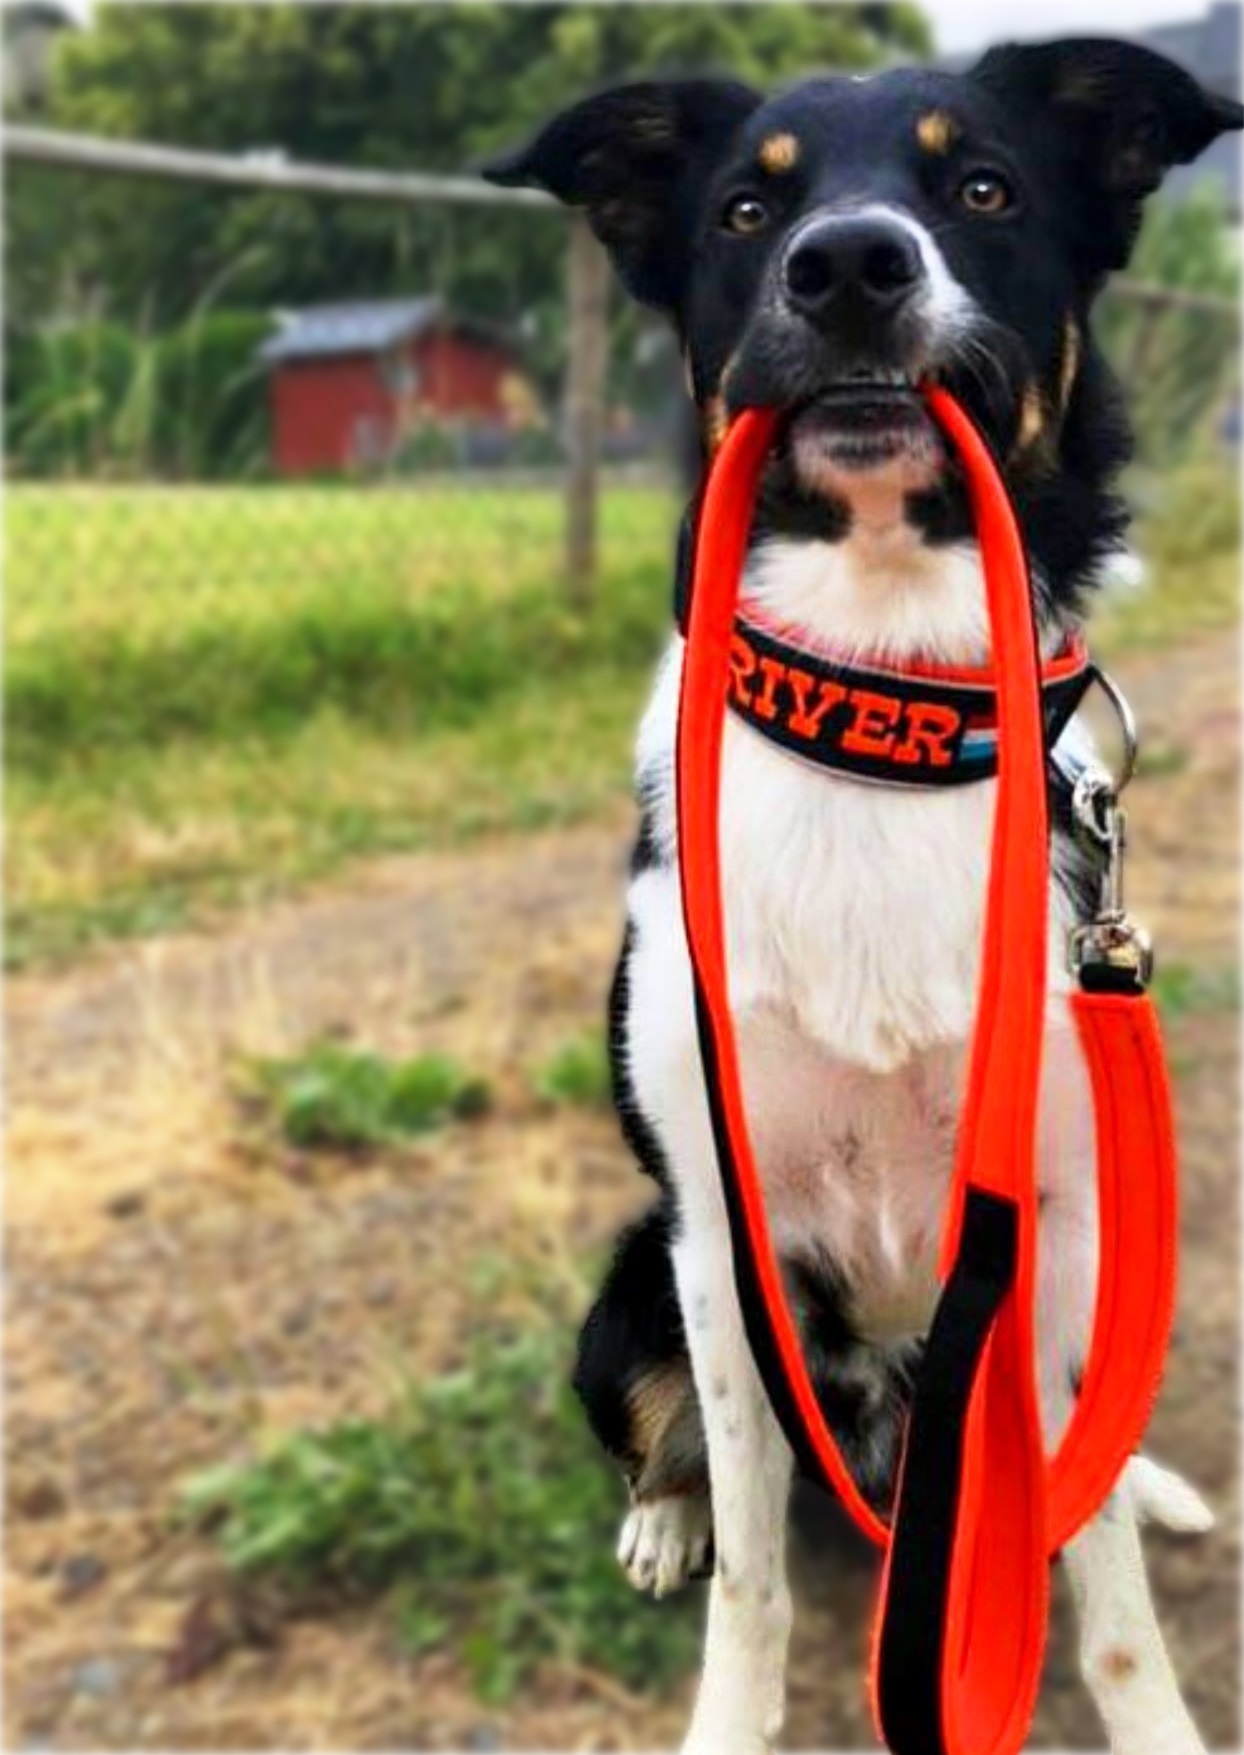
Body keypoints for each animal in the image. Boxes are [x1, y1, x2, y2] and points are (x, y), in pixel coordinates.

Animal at [487, 41, 1242, 1755]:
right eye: (745, 207)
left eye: (985, 187)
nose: (845, 266)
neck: (880, 699)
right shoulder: (722, 1238)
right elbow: (756, 1575)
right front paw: (726, 1701)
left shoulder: (1052, 1229)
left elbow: (1106, 1601)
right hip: (635, 1273)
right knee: (671, 1445)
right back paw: (664, 1516)